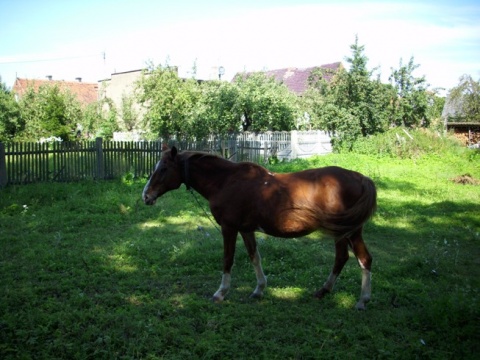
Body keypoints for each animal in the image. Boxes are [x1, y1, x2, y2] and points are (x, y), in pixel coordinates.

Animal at [144, 146, 376, 310]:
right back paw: (324, 291)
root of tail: (360, 178)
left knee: (364, 259)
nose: (146, 196)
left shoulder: (229, 228)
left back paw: (362, 301)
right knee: (342, 258)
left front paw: (221, 293)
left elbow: (228, 259)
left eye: (163, 168)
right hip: (341, 232)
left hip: (351, 231)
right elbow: (254, 257)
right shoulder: (246, 229)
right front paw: (259, 289)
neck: (225, 181)